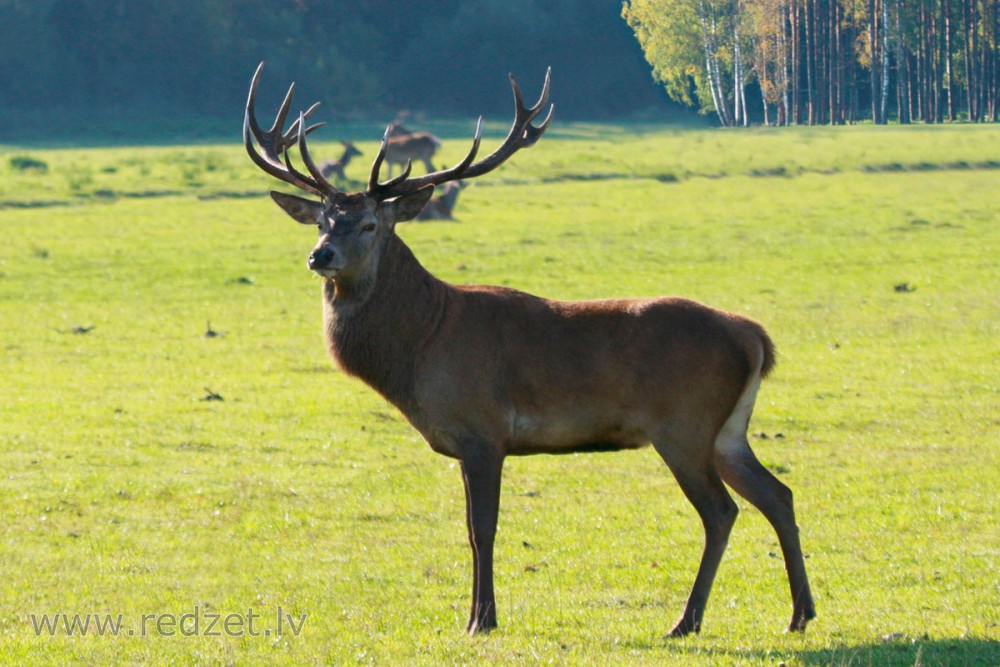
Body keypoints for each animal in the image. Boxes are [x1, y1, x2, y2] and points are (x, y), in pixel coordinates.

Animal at [243, 62, 815, 638]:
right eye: (321, 222)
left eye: (368, 224)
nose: (320, 255)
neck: (421, 345)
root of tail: (754, 337)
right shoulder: (466, 441)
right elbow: (470, 529)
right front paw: (476, 615)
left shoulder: (484, 429)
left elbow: (483, 529)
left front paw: (482, 620)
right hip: (728, 430)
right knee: (778, 494)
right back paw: (800, 612)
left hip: (685, 426)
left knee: (721, 511)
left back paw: (687, 621)